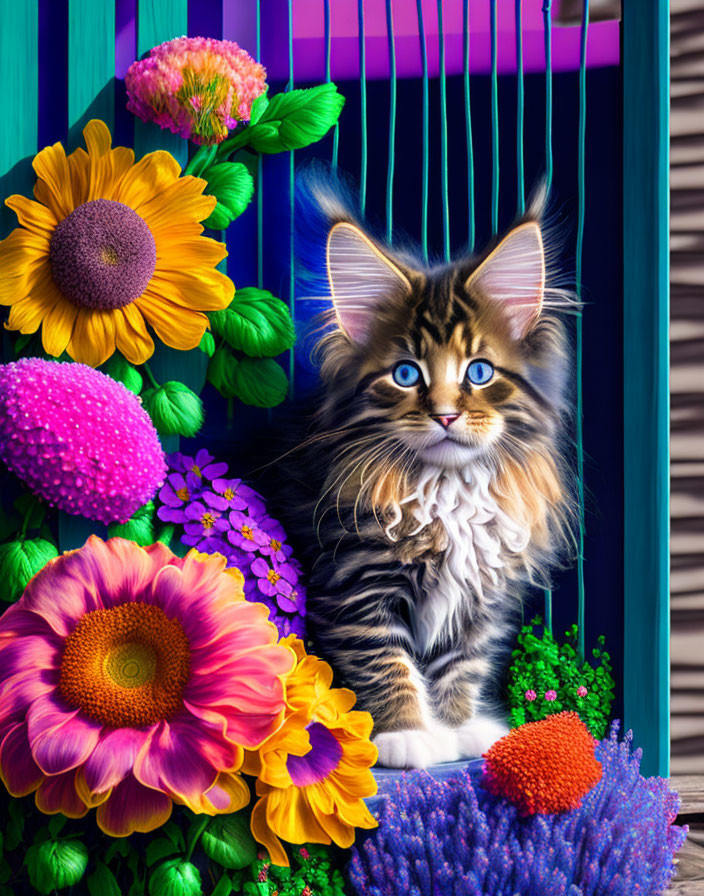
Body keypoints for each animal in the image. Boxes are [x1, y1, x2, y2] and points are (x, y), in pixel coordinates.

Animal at [292, 178, 572, 768]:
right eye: (405, 374)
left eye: (479, 372)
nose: (445, 414)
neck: (447, 491)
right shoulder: (352, 581)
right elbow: (383, 658)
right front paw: (407, 734)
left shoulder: (481, 592)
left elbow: (462, 661)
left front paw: (460, 725)